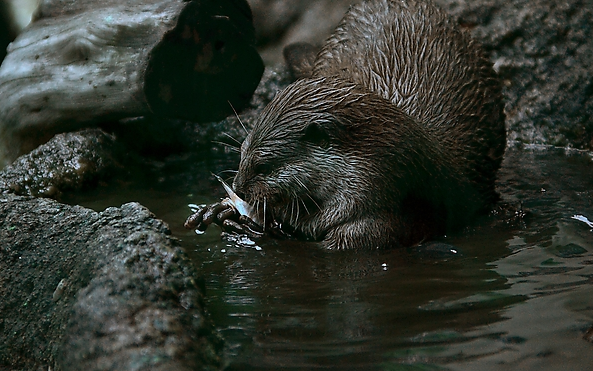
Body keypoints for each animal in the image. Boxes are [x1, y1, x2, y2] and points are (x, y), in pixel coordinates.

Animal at [187, 0, 502, 251]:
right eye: (241, 153)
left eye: (263, 166)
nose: (238, 189)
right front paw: (218, 210)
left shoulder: (381, 218)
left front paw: (255, 228)